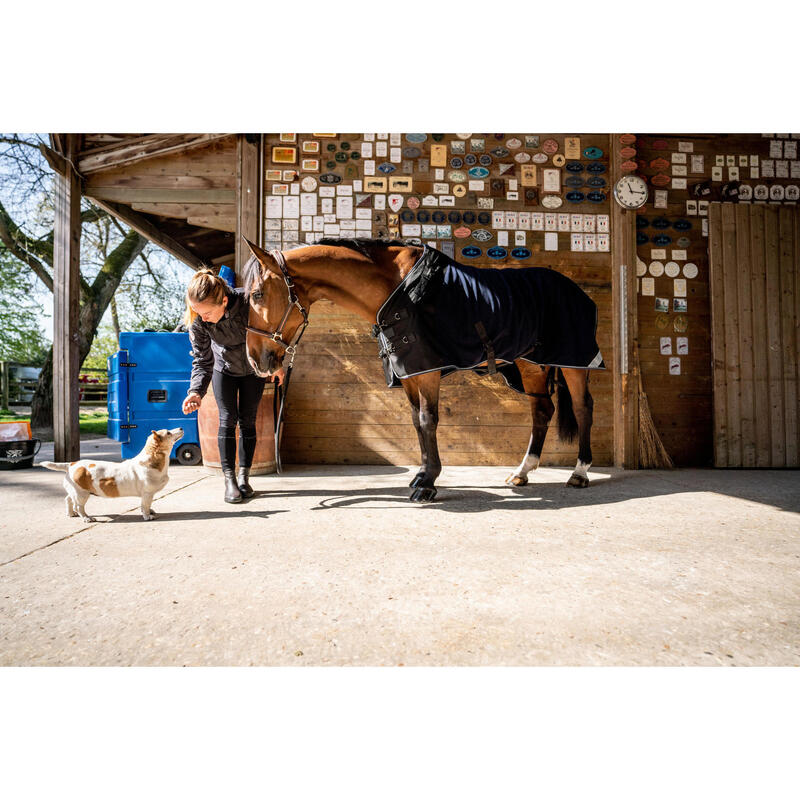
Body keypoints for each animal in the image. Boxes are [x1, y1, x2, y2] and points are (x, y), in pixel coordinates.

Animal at [41, 428, 184, 520]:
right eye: (168, 433)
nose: (181, 427)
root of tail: (71, 464)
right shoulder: (147, 493)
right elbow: (145, 505)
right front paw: (147, 516)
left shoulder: (147, 495)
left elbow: (146, 505)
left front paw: (151, 512)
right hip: (82, 494)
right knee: (79, 506)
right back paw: (87, 518)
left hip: (75, 491)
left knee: (68, 500)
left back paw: (71, 514)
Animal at [241, 238, 596, 500]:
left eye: (257, 294)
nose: (255, 359)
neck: (398, 287)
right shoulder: (409, 372)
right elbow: (416, 422)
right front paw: (422, 474)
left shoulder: (425, 370)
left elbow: (428, 420)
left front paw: (428, 484)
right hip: (530, 364)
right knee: (542, 411)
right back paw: (522, 472)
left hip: (574, 363)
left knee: (582, 408)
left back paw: (579, 473)